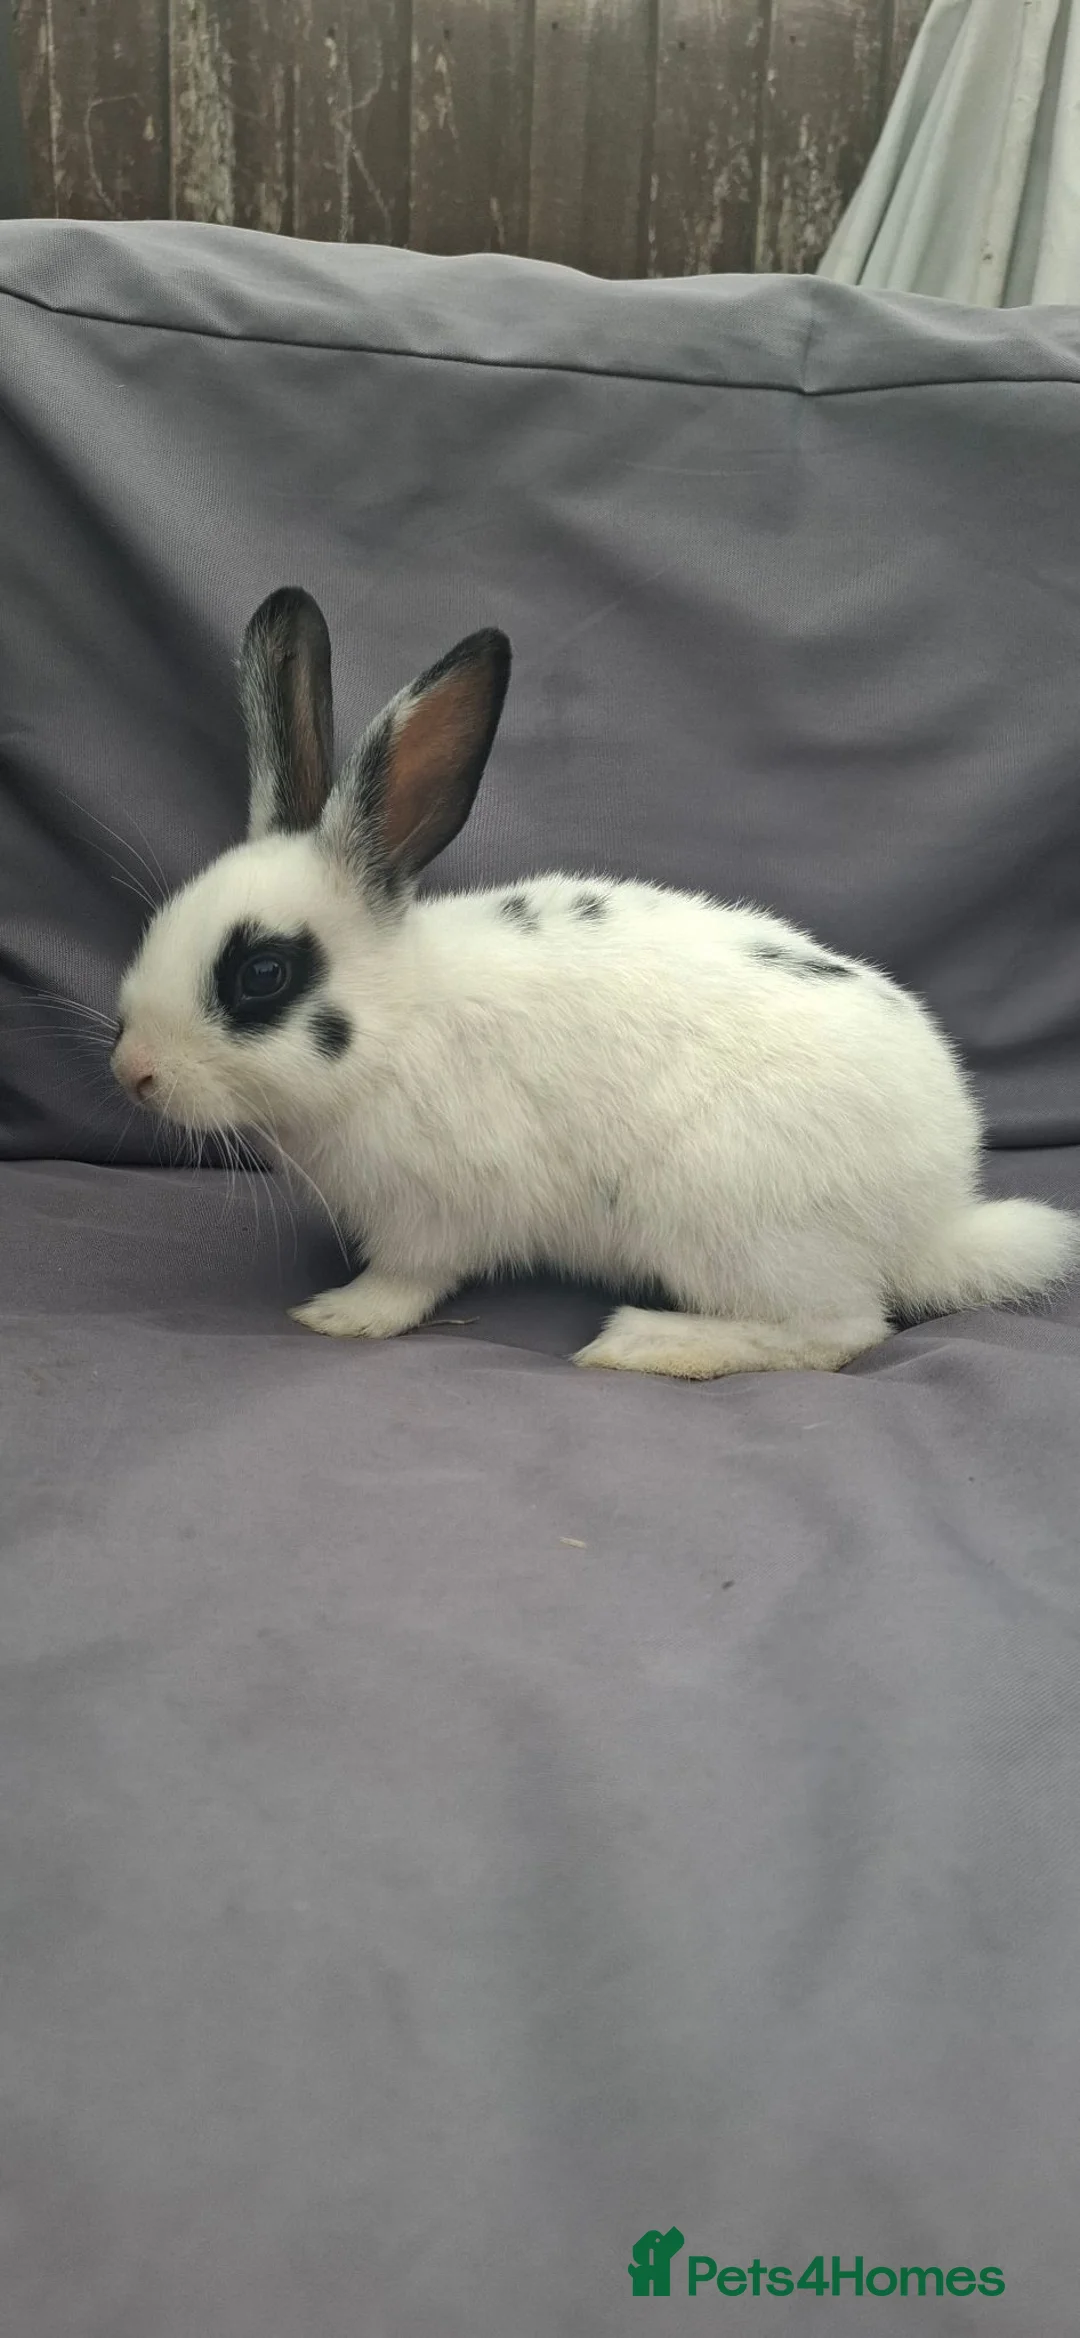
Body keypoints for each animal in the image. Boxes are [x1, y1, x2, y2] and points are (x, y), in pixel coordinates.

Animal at [111, 587, 1080, 1380]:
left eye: (262, 973)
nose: (132, 1073)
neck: (399, 1020)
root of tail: (931, 1218)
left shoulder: (435, 1210)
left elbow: (409, 1278)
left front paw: (340, 1316)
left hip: (727, 1220)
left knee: (839, 1331)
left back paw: (648, 1342)